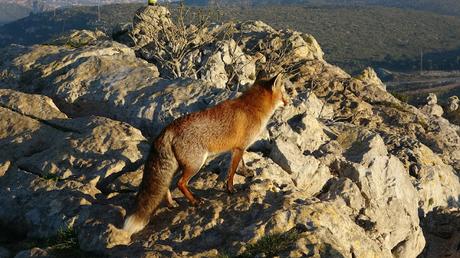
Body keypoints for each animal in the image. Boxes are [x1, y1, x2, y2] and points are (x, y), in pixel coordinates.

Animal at [122, 71, 288, 235]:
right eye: (284, 93)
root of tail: (167, 129)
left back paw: (171, 203)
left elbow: (239, 165)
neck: (252, 107)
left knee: (166, 185)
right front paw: (231, 189)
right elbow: (232, 172)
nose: (288, 102)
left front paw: (246, 173)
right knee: (180, 183)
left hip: (177, 166)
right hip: (195, 164)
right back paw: (194, 201)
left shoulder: (237, 149)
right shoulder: (240, 148)